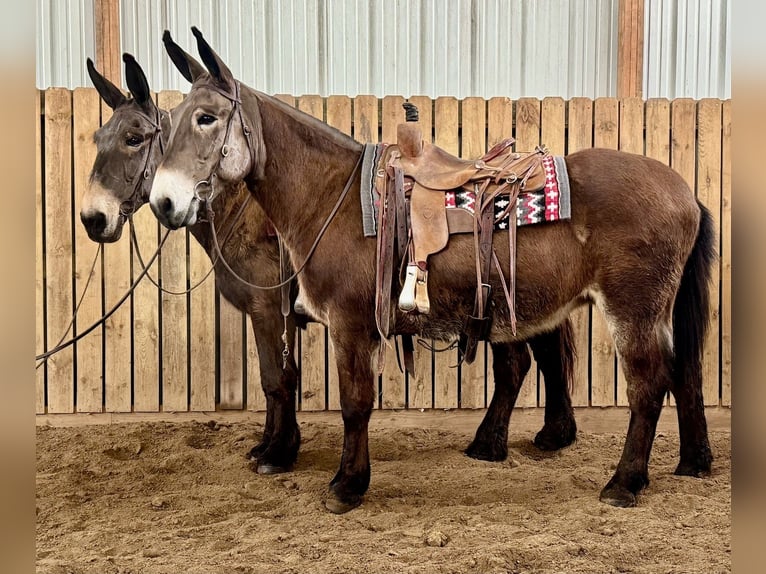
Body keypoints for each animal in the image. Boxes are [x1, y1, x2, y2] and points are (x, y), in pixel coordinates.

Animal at [79, 46, 580, 475]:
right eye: (99, 138)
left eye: (134, 138)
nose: (92, 217)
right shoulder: (282, 316)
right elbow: (283, 378)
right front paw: (271, 445)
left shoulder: (268, 311)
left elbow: (275, 380)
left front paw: (278, 454)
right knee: (540, 359)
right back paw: (550, 435)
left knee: (516, 365)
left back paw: (489, 444)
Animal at [149, 28, 714, 513]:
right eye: (170, 122)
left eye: (206, 118)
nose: (163, 201)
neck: (331, 196)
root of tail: (685, 192)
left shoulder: (349, 325)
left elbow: (354, 403)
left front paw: (347, 485)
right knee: (679, 372)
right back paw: (689, 462)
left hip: (633, 310)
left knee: (647, 387)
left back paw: (625, 482)